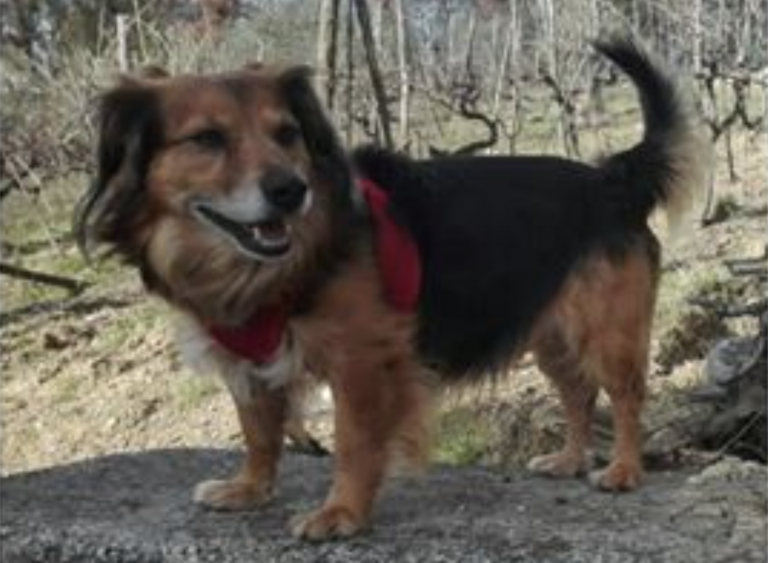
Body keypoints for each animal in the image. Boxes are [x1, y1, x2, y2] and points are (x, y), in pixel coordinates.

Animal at [75, 38, 706, 540]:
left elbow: (354, 443)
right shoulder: (248, 362)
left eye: (287, 134)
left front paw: (342, 513)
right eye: (206, 139)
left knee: (625, 397)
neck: (274, 266)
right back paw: (570, 459)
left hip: (607, 333)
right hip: (550, 334)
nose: (290, 190)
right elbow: (259, 432)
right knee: (578, 393)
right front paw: (249, 489)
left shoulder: (362, 362)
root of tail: (611, 178)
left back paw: (623, 470)